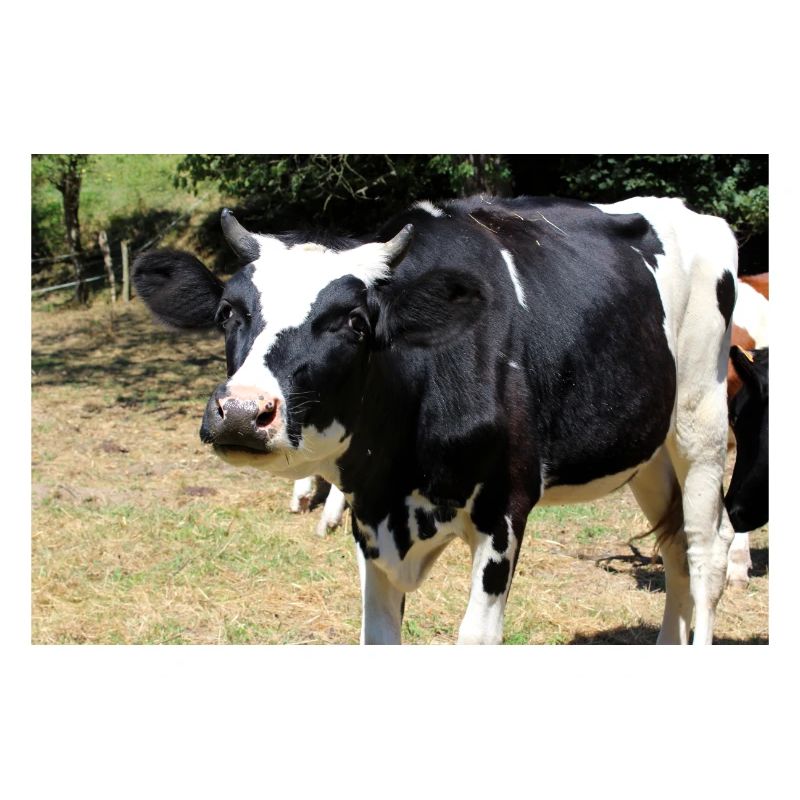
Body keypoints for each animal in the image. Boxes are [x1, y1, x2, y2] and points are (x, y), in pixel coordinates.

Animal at [134, 195, 739, 645]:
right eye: (227, 313)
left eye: (354, 322)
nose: (241, 411)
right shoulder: (369, 516)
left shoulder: (505, 508)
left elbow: (476, 634)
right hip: (649, 452)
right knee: (676, 550)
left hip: (701, 422)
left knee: (706, 554)